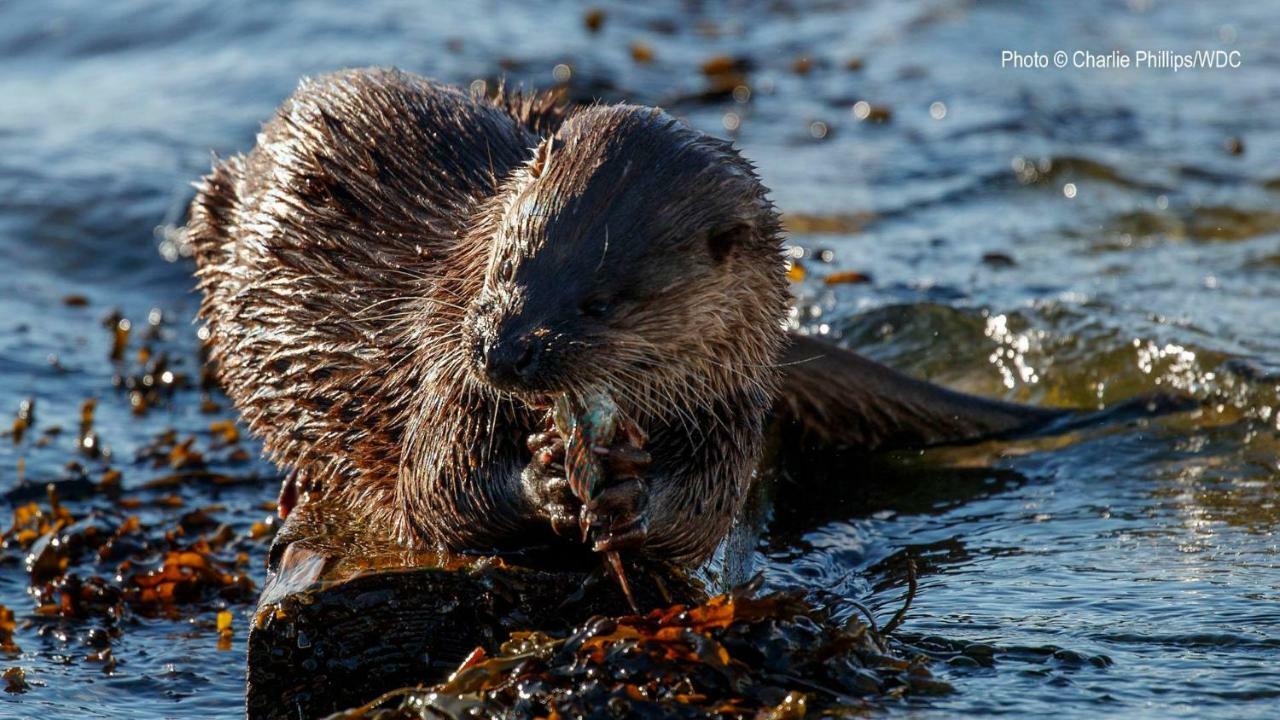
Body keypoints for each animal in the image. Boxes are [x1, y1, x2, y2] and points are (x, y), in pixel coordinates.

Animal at [183, 65, 1100, 561]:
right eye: (510, 268)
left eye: (601, 301)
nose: (503, 353)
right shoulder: (445, 363)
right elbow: (437, 488)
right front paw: (547, 482)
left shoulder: (732, 397)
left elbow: (708, 504)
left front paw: (632, 500)